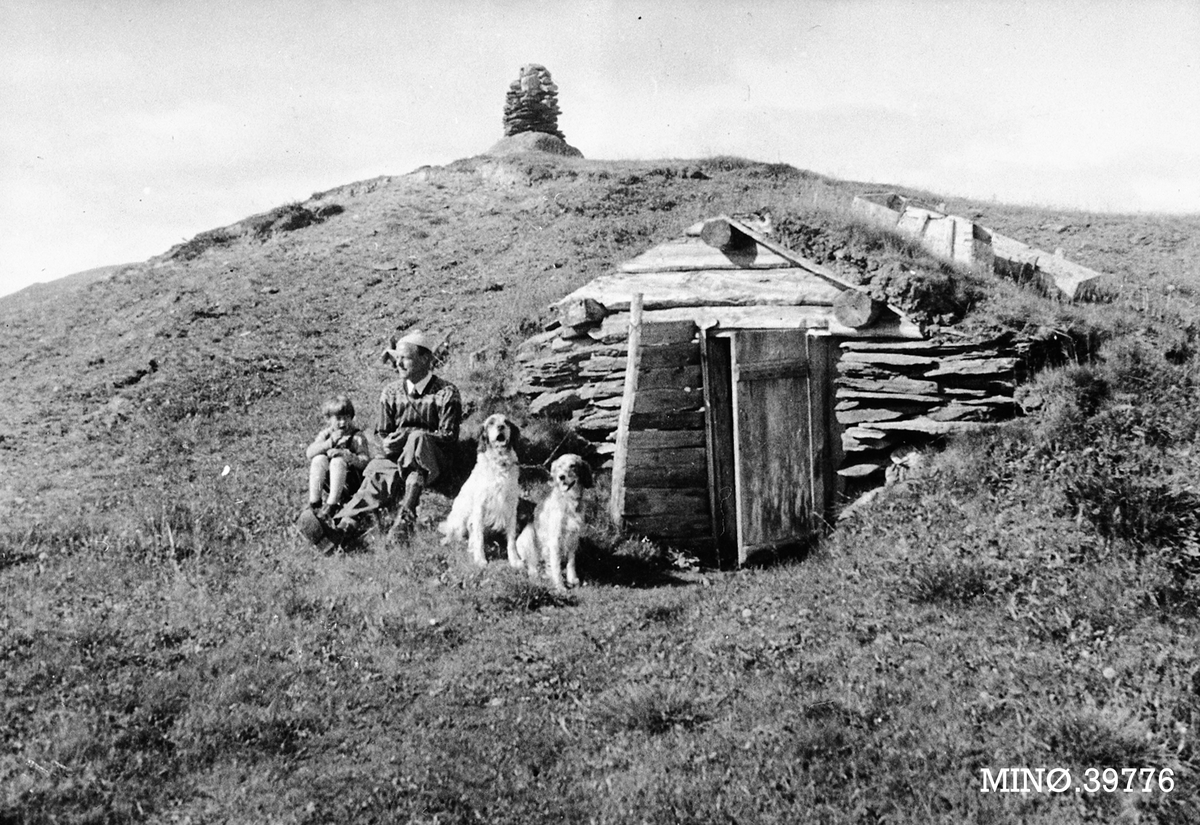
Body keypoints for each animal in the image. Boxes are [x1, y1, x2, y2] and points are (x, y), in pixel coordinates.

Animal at [436, 412, 520, 565]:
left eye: (506, 422)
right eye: (491, 422)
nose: (501, 427)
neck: (500, 463)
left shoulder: (511, 506)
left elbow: (511, 539)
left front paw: (515, 560)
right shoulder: (480, 507)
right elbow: (479, 538)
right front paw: (480, 559)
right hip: (461, 518)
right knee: (454, 533)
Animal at [518, 453, 592, 589]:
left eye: (572, 465)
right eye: (559, 466)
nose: (561, 477)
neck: (569, 501)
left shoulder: (574, 538)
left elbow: (571, 562)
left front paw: (572, 579)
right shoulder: (555, 540)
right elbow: (556, 567)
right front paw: (560, 587)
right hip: (528, 535)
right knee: (531, 564)